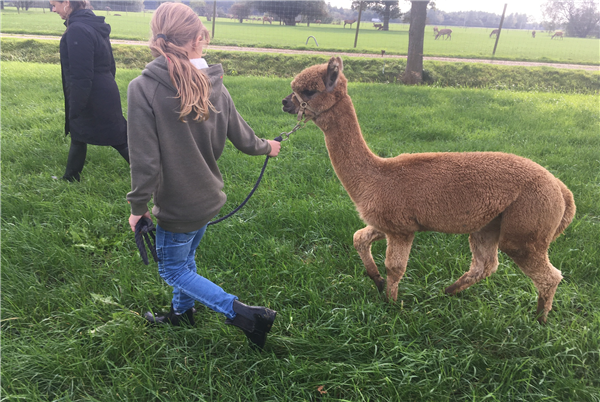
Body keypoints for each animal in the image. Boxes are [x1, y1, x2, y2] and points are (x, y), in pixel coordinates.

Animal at [282, 56, 576, 322]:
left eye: (308, 91)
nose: (285, 102)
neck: (375, 177)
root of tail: (562, 190)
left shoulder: (401, 228)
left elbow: (395, 267)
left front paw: (392, 306)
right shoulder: (385, 222)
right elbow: (358, 238)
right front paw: (376, 280)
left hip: (528, 223)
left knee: (548, 275)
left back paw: (540, 319)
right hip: (490, 223)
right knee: (485, 264)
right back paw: (448, 292)